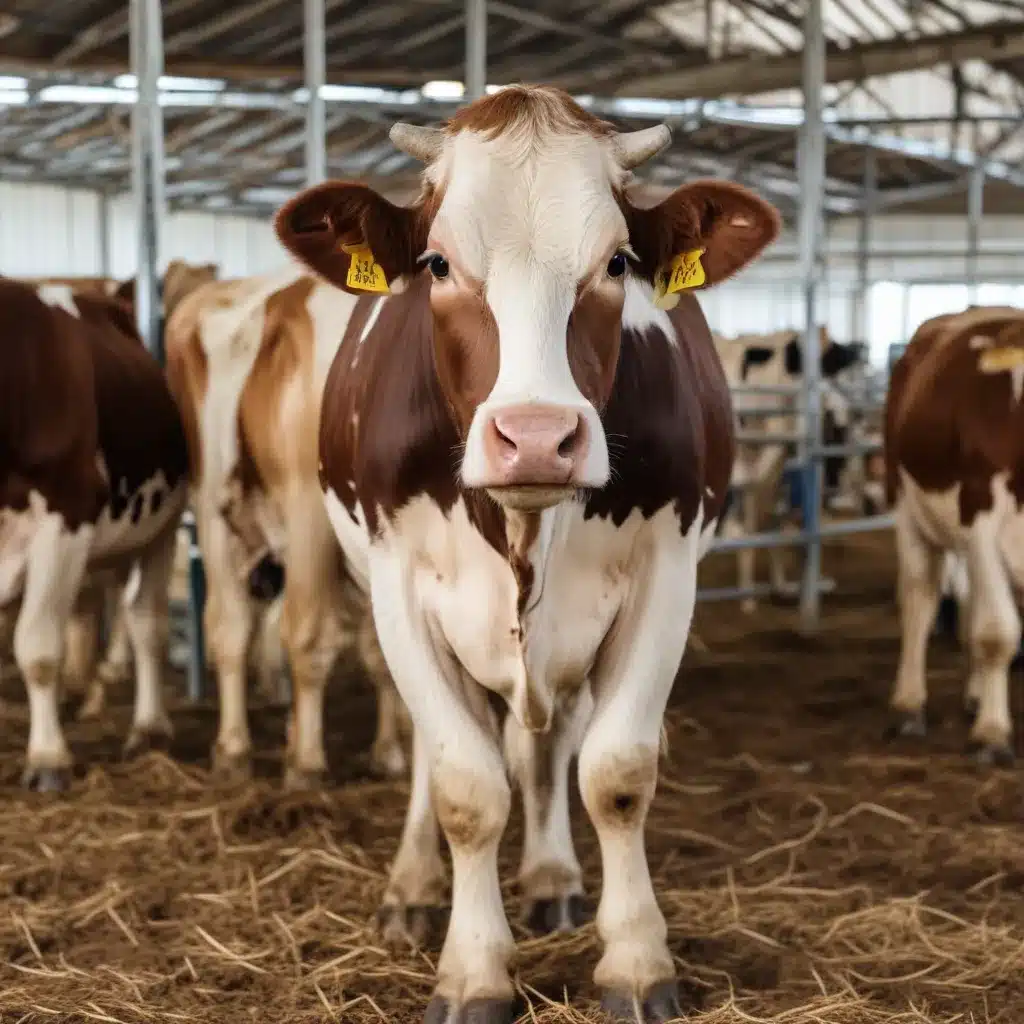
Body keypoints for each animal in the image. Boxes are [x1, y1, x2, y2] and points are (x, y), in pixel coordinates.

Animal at [0, 274, 191, 790]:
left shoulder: (67, 512)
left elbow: (39, 646)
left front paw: (48, 759)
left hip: (161, 527)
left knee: (146, 623)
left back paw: (149, 730)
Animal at [272, 83, 774, 1019]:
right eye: (437, 263)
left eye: (616, 262)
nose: (537, 437)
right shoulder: (399, 588)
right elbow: (466, 785)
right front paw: (473, 970)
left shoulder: (666, 577)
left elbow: (615, 771)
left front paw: (635, 961)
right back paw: (413, 889)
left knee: (552, 739)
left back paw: (549, 876)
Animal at [712, 331, 872, 610]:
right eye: (831, 367)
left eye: (858, 371)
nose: (856, 412)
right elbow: (752, 524)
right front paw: (748, 598)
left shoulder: (774, 468)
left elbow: (773, 524)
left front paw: (778, 586)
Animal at [880, 299, 1024, 765]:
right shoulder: (980, 513)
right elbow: (997, 632)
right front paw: (992, 735)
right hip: (908, 507)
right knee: (920, 598)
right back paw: (909, 705)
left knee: (967, 603)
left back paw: (976, 696)